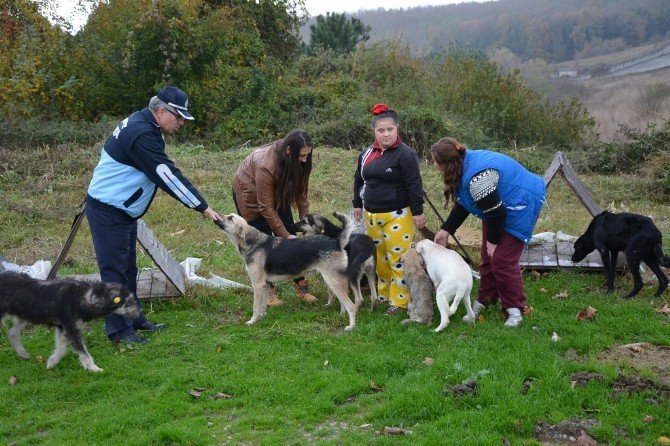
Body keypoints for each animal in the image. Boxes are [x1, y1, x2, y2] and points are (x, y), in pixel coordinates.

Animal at [0, 272, 140, 372]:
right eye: (129, 301)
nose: (139, 312)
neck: (82, 297)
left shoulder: (63, 327)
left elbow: (62, 348)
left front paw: (51, 362)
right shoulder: (71, 329)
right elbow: (83, 352)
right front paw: (94, 368)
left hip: (24, 317)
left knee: (11, 333)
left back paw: (22, 353)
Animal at [218, 213, 360, 332]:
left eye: (230, 218)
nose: (217, 216)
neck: (254, 243)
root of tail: (336, 243)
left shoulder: (257, 286)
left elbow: (255, 307)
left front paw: (252, 321)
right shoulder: (266, 285)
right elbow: (263, 306)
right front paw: (262, 317)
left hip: (332, 281)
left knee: (351, 306)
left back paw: (351, 326)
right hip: (334, 281)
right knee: (343, 302)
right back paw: (341, 315)